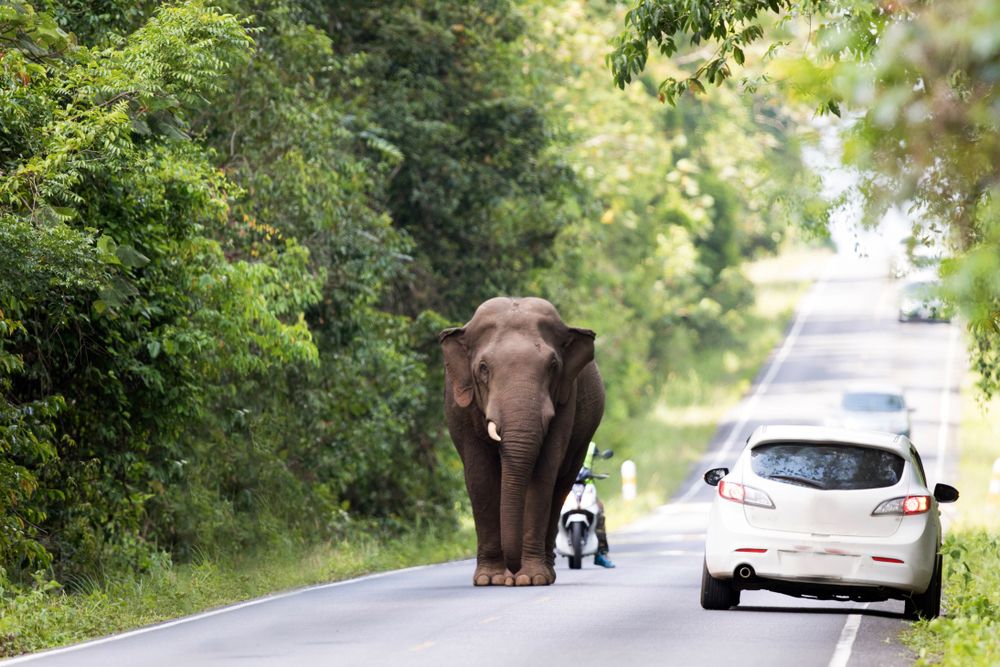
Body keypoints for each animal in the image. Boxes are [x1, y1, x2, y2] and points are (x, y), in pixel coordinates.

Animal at [442, 296, 604, 584]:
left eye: (553, 367)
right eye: (483, 369)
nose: (513, 571)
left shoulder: (567, 398)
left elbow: (543, 475)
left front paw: (531, 579)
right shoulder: (458, 404)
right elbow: (480, 478)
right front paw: (490, 580)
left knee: (560, 488)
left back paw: (545, 573)